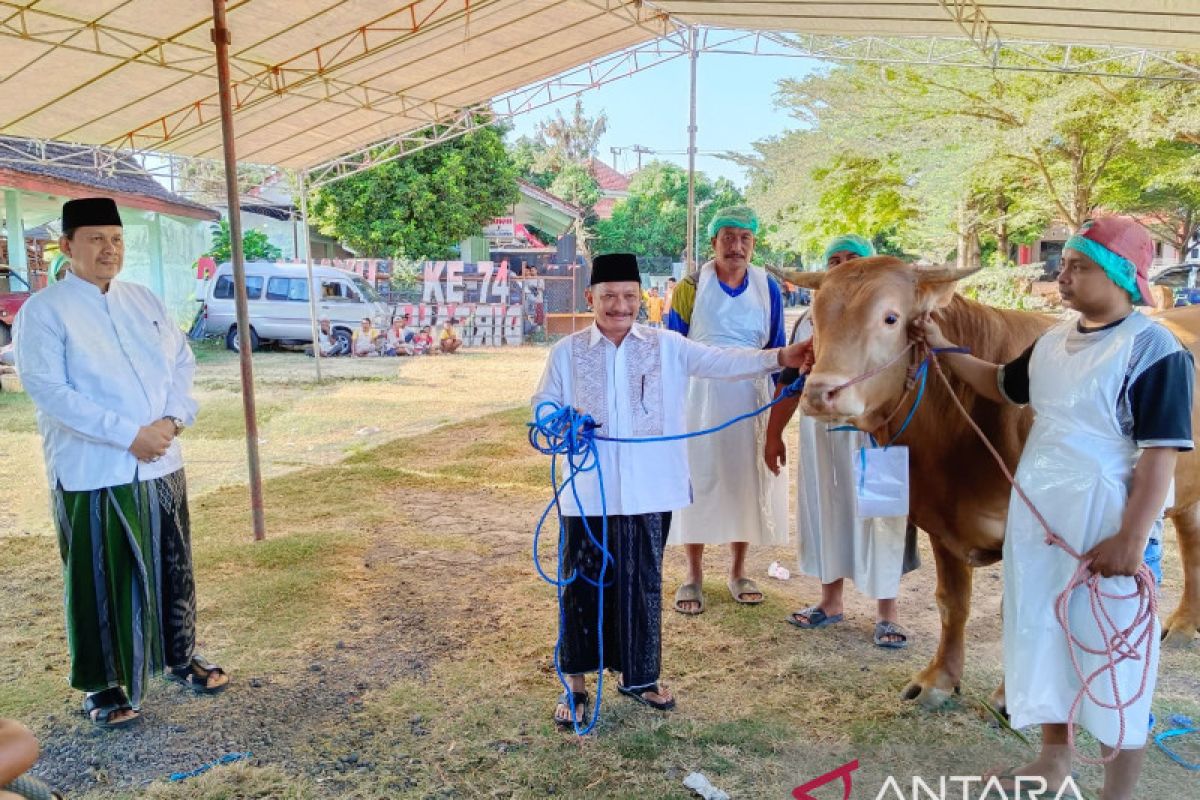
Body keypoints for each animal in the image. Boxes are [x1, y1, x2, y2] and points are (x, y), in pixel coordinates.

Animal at [777, 255, 1200, 705]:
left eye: (890, 318)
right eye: (816, 320)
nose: (820, 393)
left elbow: (1019, 611)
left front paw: (1012, 699)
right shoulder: (940, 524)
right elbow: (952, 603)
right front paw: (939, 680)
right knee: (1191, 543)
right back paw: (1185, 622)